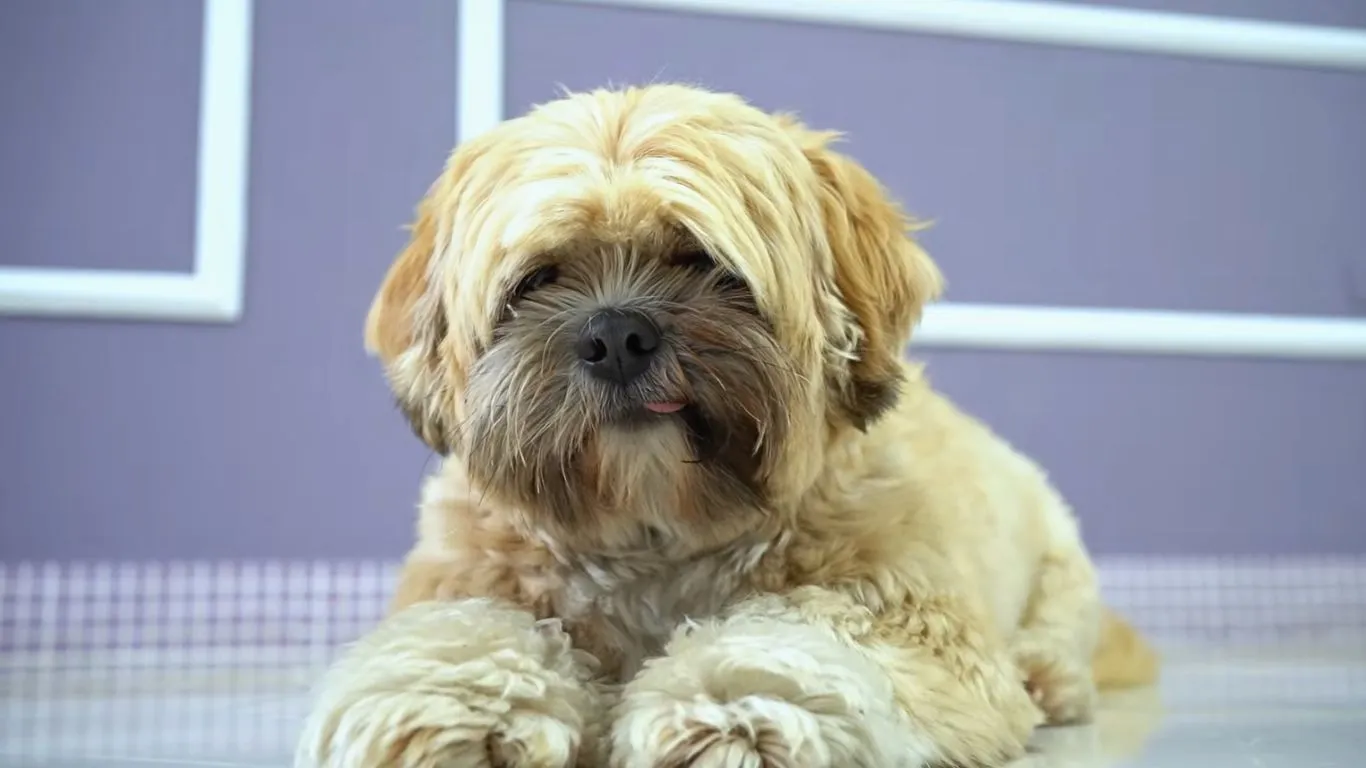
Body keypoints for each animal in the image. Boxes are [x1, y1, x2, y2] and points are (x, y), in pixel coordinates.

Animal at [296, 83, 1152, 765]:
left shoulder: (911, 618)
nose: (616, 335)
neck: (657, 538)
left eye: (705, 262)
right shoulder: (469, 581)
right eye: (538, 279)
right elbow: (466, 634)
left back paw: (1045, 675)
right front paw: (449, 708)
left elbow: (801, 638)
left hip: (1058, 561)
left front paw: (733, 709)